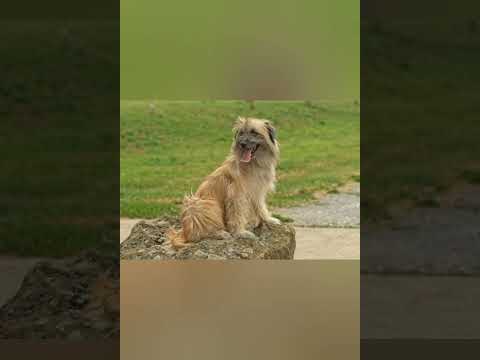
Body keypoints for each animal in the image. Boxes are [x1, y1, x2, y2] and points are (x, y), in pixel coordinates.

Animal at [168, 116, 282, 249]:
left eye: (254, 132)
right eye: (241, 133)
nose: (242, 144)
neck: (253, 163)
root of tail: (184, 232)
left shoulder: (257, 192)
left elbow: (261, 207)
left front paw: (268, 219)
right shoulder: (236, 195)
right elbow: (236, 214)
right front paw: (240, 232)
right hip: (201, 204)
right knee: (196, 234)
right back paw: (219, 233)